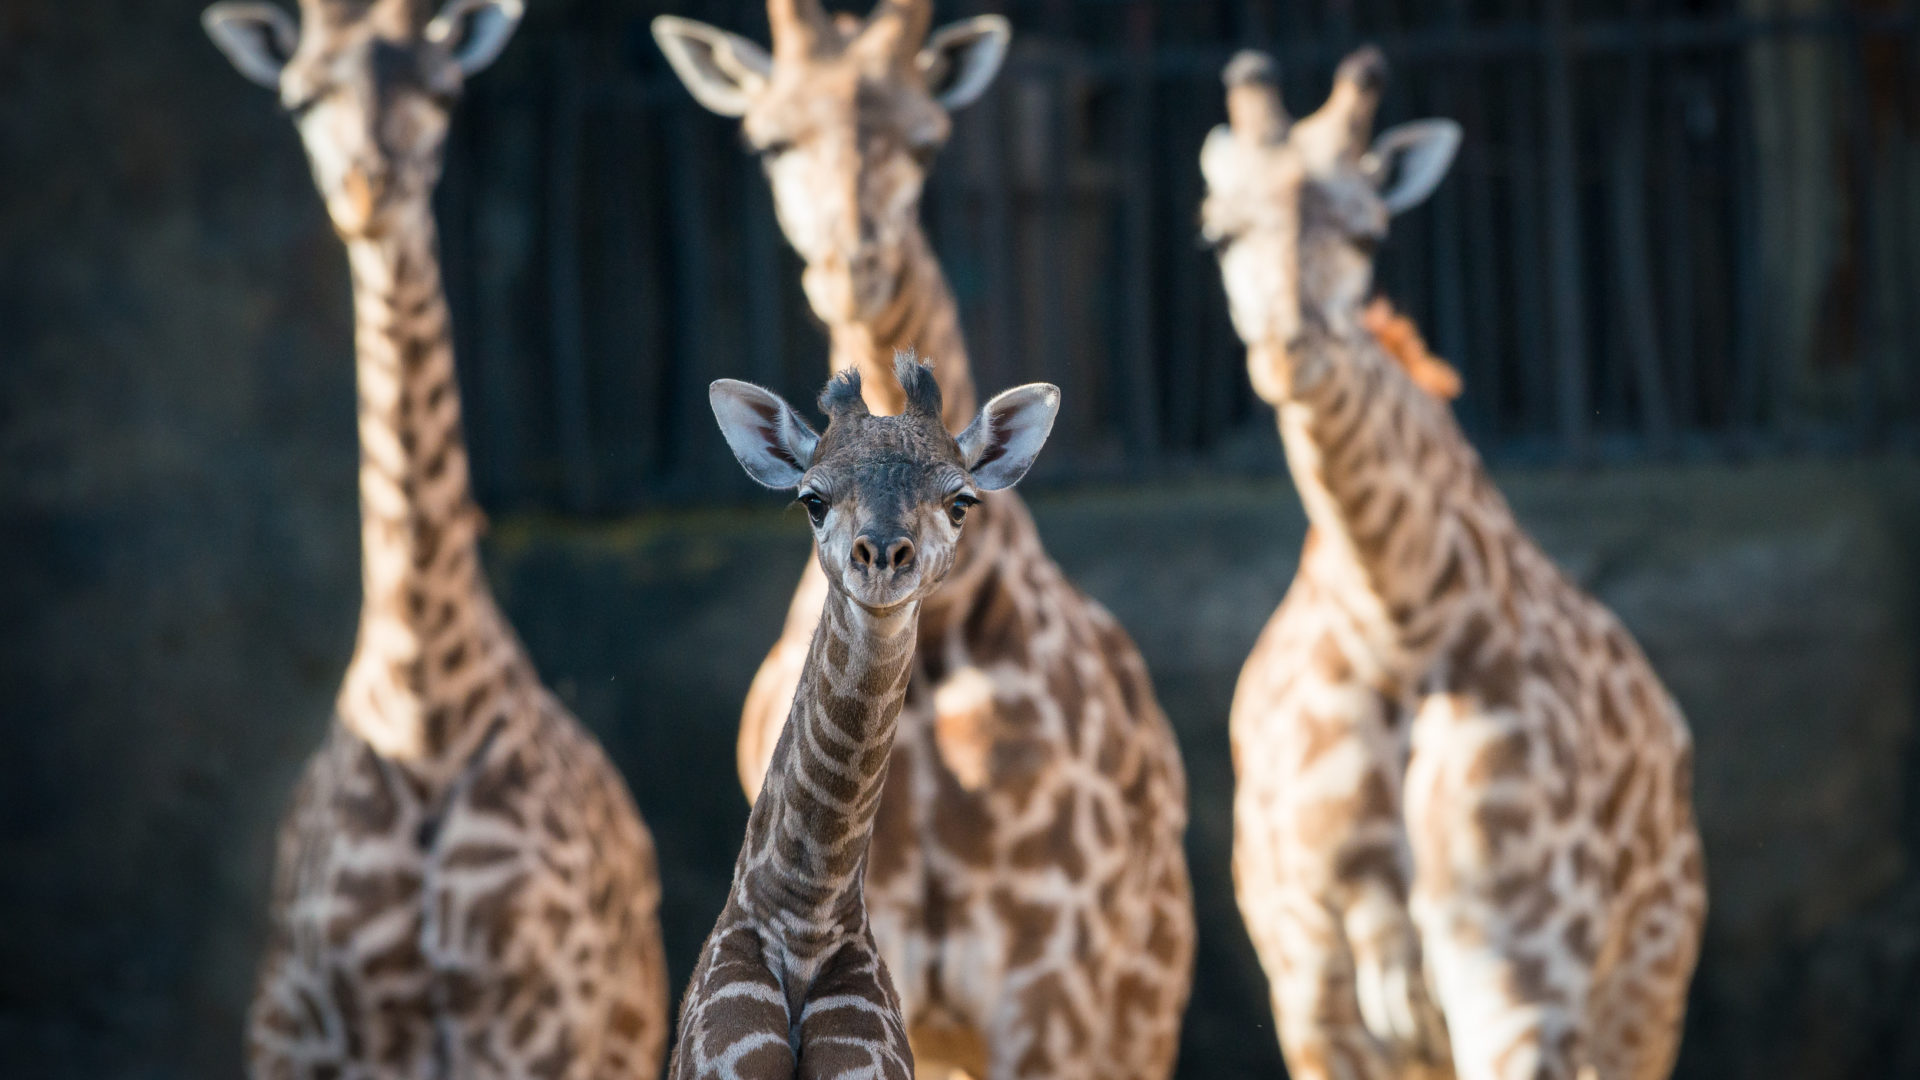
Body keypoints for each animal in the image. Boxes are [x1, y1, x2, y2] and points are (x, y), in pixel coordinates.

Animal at [206, 4, 672, 1068]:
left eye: (445, 90)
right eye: (300, 96)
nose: (370, 190)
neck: (423, 709)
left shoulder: (536, 1024)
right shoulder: (322, 1033)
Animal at [1198, 48, 1712, 1076]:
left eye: (1367, 230)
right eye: (1223, 233)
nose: (1291, 349)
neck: (1402, 621)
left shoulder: (1520, 974)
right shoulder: (1312, 993)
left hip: (1647, 982)